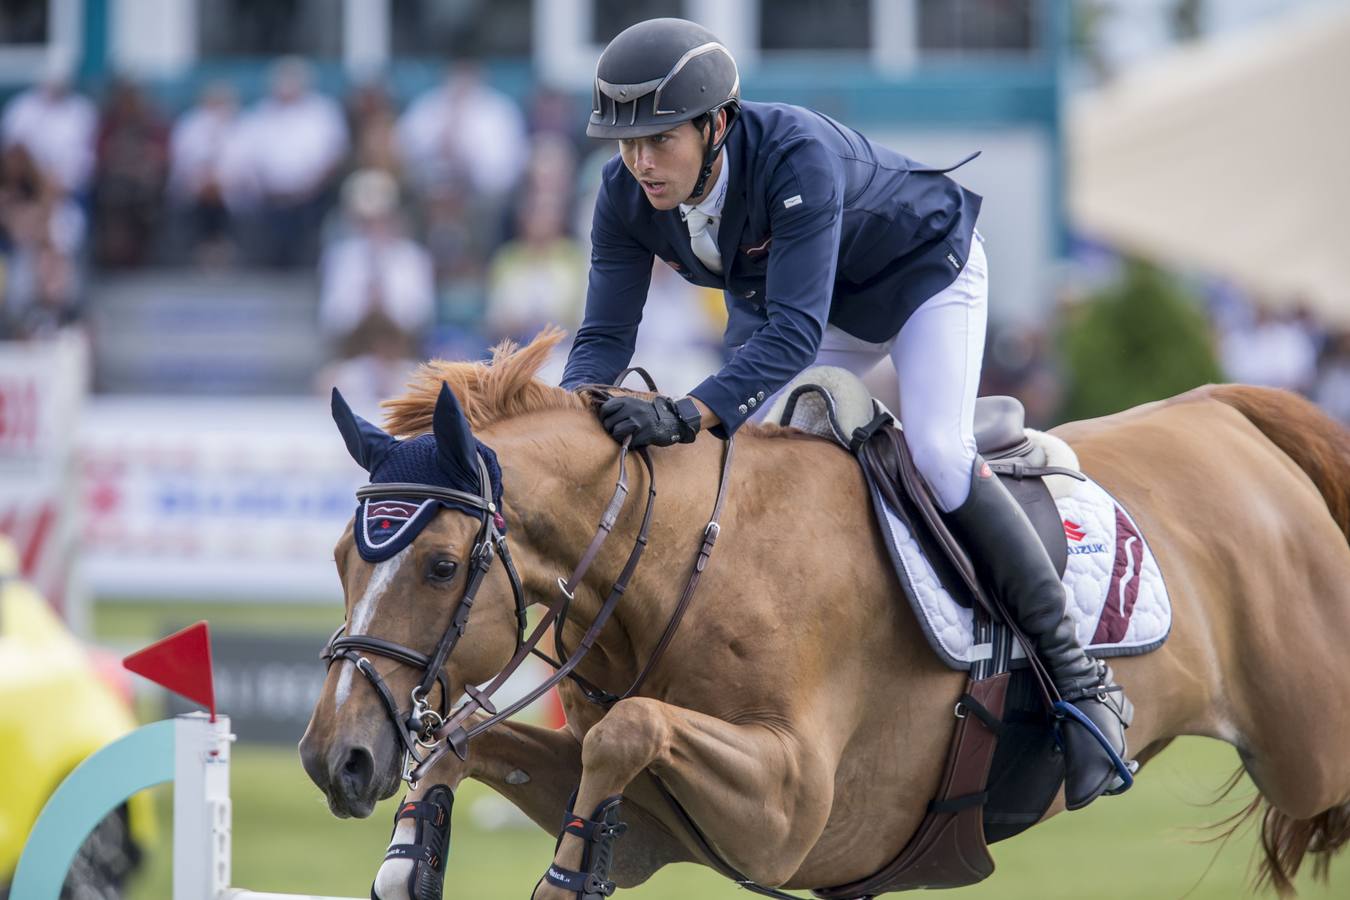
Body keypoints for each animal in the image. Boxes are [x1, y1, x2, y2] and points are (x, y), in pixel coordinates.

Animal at [301, 333, 1350, 900]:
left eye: (441, 565)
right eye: (343, 558)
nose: (332, 760)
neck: (685, 563)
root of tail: (1223, 412)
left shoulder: (790, 809)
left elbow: (626, 729)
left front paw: (561, 877)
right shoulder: (662, 830)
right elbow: (468, 739)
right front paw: (407, 858)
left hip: (1308, 750)